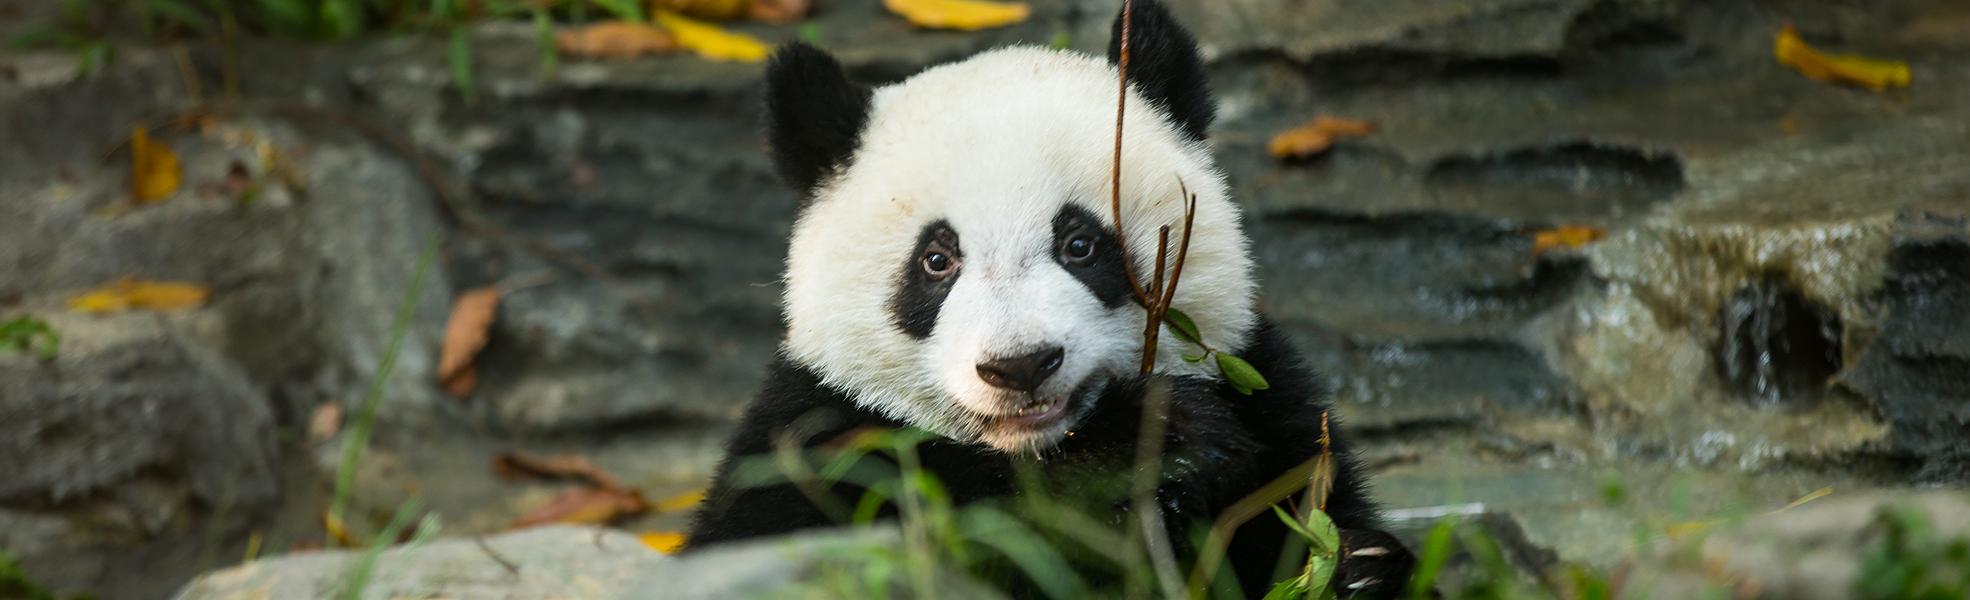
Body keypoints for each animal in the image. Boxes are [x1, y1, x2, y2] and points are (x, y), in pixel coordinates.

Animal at [686, 1, 1416, 597]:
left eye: (1080, 244)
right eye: (936, 261)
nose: (1020, 366)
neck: (1030, 447)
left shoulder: (1271, 408)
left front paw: (1356, 570)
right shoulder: (813, 438)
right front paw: (1142, 447)